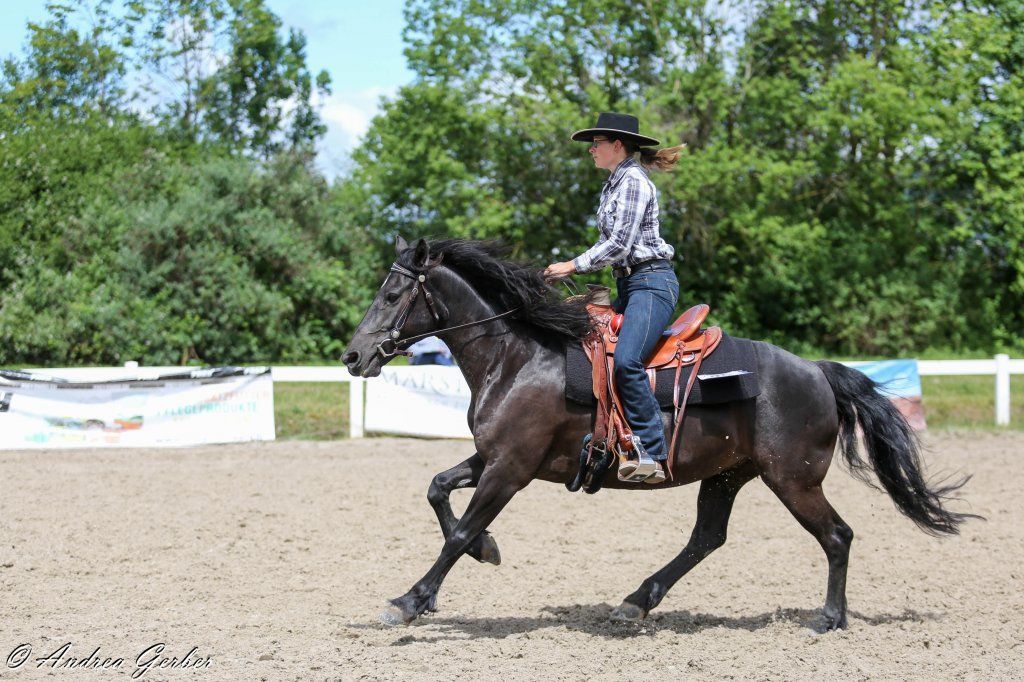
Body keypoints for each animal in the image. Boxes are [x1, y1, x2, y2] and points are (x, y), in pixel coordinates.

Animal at [342, 236, 976, 629]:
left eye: (393, 294)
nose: (352, 356)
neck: (517, 357)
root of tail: (817, 371)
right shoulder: (493, 457)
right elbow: (437, 489)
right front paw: (487, 550)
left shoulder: (511, 469)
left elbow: (456, 531)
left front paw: (410, 600)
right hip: (728, 476)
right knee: (706, 539)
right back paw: (635, 602)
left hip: (793, 480)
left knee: (837, 536)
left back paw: (829, 619)